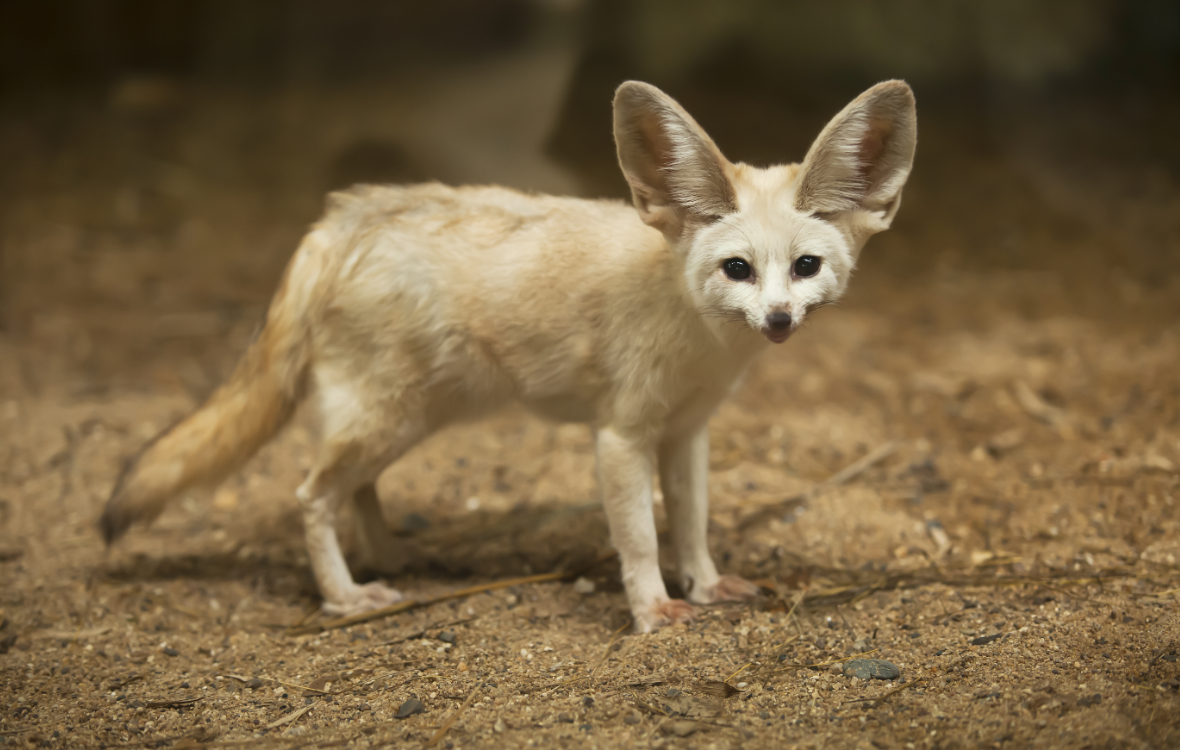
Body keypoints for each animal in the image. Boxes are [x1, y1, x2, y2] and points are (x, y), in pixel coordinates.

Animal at [99, 81, 910, 632]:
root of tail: (338, 218)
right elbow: (640, 536)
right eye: (737, 269)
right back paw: (346, 595)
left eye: (805, 267)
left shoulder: (688, 431)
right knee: (311, 495)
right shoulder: (621, 436)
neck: (700, 341)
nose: (777, 319)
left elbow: (692, 522)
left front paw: (706, 586)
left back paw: (387, 556)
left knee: (355, 489)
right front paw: (652, 610)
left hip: (407, 419)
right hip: (387, 419)